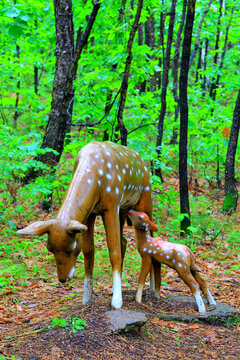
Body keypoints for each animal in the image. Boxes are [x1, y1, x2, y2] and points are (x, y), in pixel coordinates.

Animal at [17, 142, 152, 308]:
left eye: (71, 249)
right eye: (50, 249)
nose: (63, 279)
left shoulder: (112, 204)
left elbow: (113, 251)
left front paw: (116, 302)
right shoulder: (90, 213)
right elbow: (89, 251)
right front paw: (87, 299)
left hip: (145, 201)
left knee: (152, 235)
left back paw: (152, 290)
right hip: (123, 210)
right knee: (124, 241)